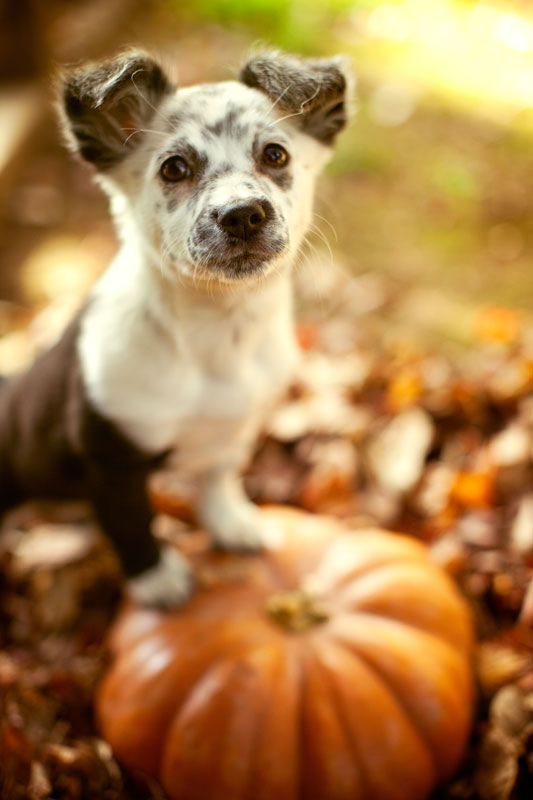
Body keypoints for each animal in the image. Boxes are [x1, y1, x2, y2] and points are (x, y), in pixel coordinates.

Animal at [0, 47, 354, 604]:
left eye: (275, 155)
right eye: (175, 168)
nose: (242, 215)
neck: (219, 338)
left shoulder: (235, 431)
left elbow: (218, 480)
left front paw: (231, 523)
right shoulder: (109, 456)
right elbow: (132, 523)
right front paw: (157, 581)